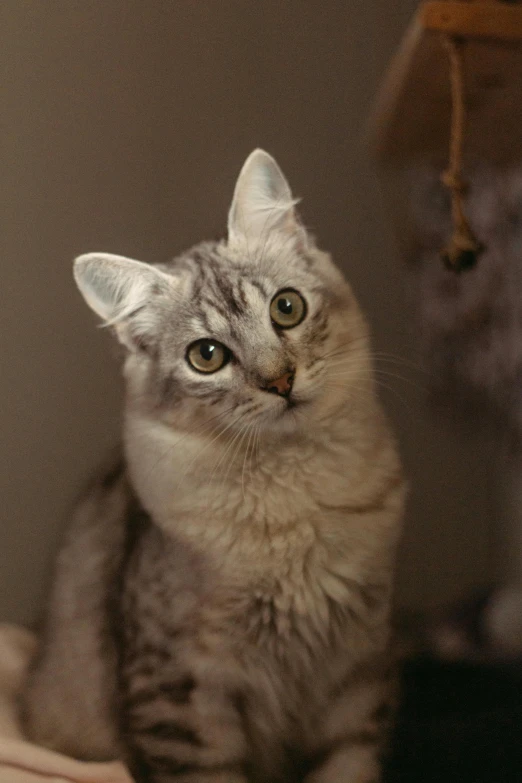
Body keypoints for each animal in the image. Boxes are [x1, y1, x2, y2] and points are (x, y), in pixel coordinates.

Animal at [22, 149, 404, 783]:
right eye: (207, 356)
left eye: (287, 307)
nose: (280, 382)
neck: (294, 506)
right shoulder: (183, 693)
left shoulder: (359, 665)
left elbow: (348, 763)